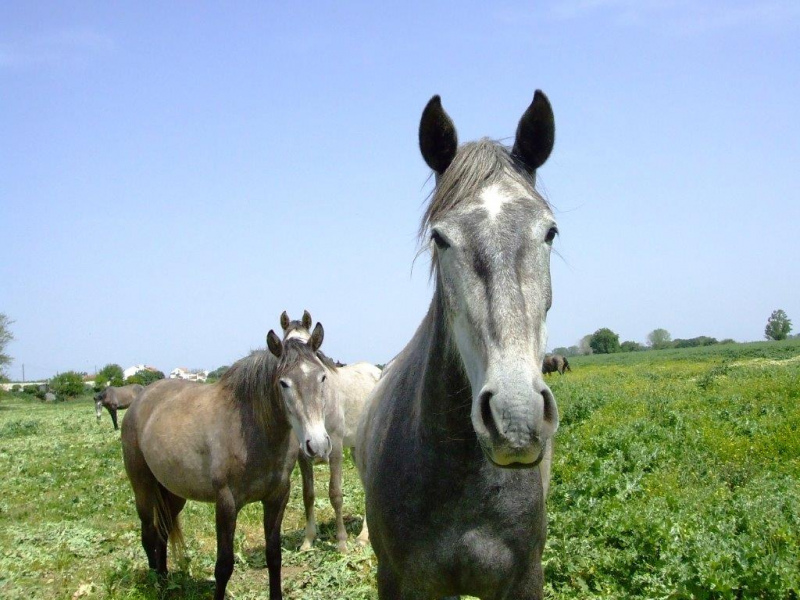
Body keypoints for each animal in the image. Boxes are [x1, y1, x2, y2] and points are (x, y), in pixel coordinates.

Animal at [119, 326, 332, 596]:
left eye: (322, 377)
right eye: (284, 383)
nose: (318, 445)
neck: (251, 431)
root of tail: (140, 399)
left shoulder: (277, 498)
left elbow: (274, 556)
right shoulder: (226, 504)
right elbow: (223, 566)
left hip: (173, 493)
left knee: (162, 533)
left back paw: (166, 581)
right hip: (143, 488)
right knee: (148, 534)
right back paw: (156, 585)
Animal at [278, 312, 382, 552]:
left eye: (322, 377)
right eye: (284, 383)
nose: (317, 446)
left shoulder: (335, 448)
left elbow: (335, 494)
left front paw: (342, 543)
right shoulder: (303, 455)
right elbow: (308, 495)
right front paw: (308, 540)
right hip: (355, 448)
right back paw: (364, 535)